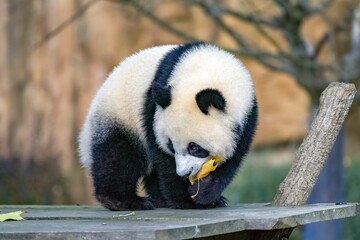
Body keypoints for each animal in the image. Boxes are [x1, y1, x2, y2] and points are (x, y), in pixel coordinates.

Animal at [79, 41, 258, 210]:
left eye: (194, 147)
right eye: (171, 145)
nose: (184, 173)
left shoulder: (248, 117)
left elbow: (232, 159)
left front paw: (207, 195)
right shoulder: (153, 109)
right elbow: (162, 158)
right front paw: (185, 200)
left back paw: (159, 199)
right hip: (119, 115)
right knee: (118, 156)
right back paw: (124, 201)